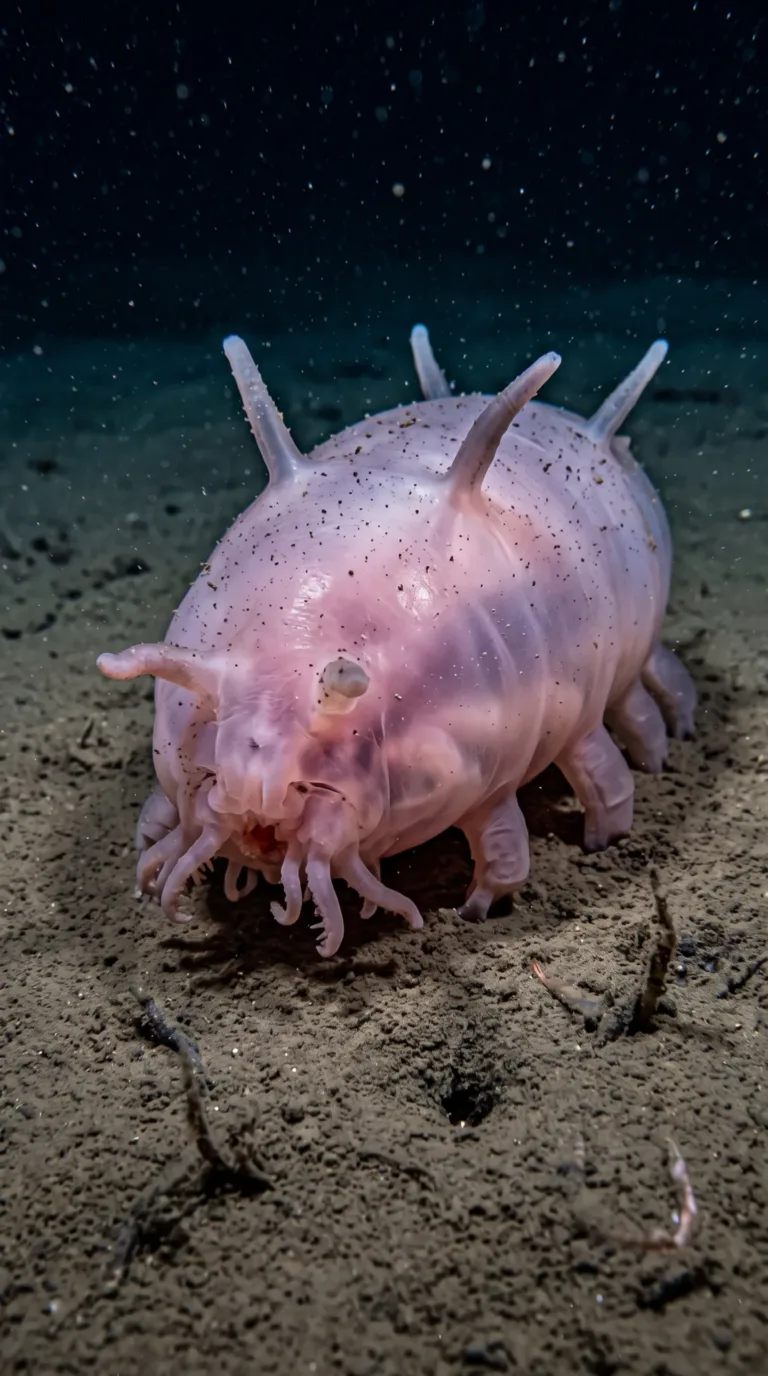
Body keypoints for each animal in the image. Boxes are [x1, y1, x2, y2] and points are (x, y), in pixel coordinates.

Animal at [97, 326, 695, 956]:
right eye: (203, 721)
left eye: (357, 716)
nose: (255, 801)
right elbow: (157, 813)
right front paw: (149, 851)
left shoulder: (520, 753)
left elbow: (518, 841)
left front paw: (485, 903)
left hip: (636, 658)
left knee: (647, 701)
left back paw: (668, 744)